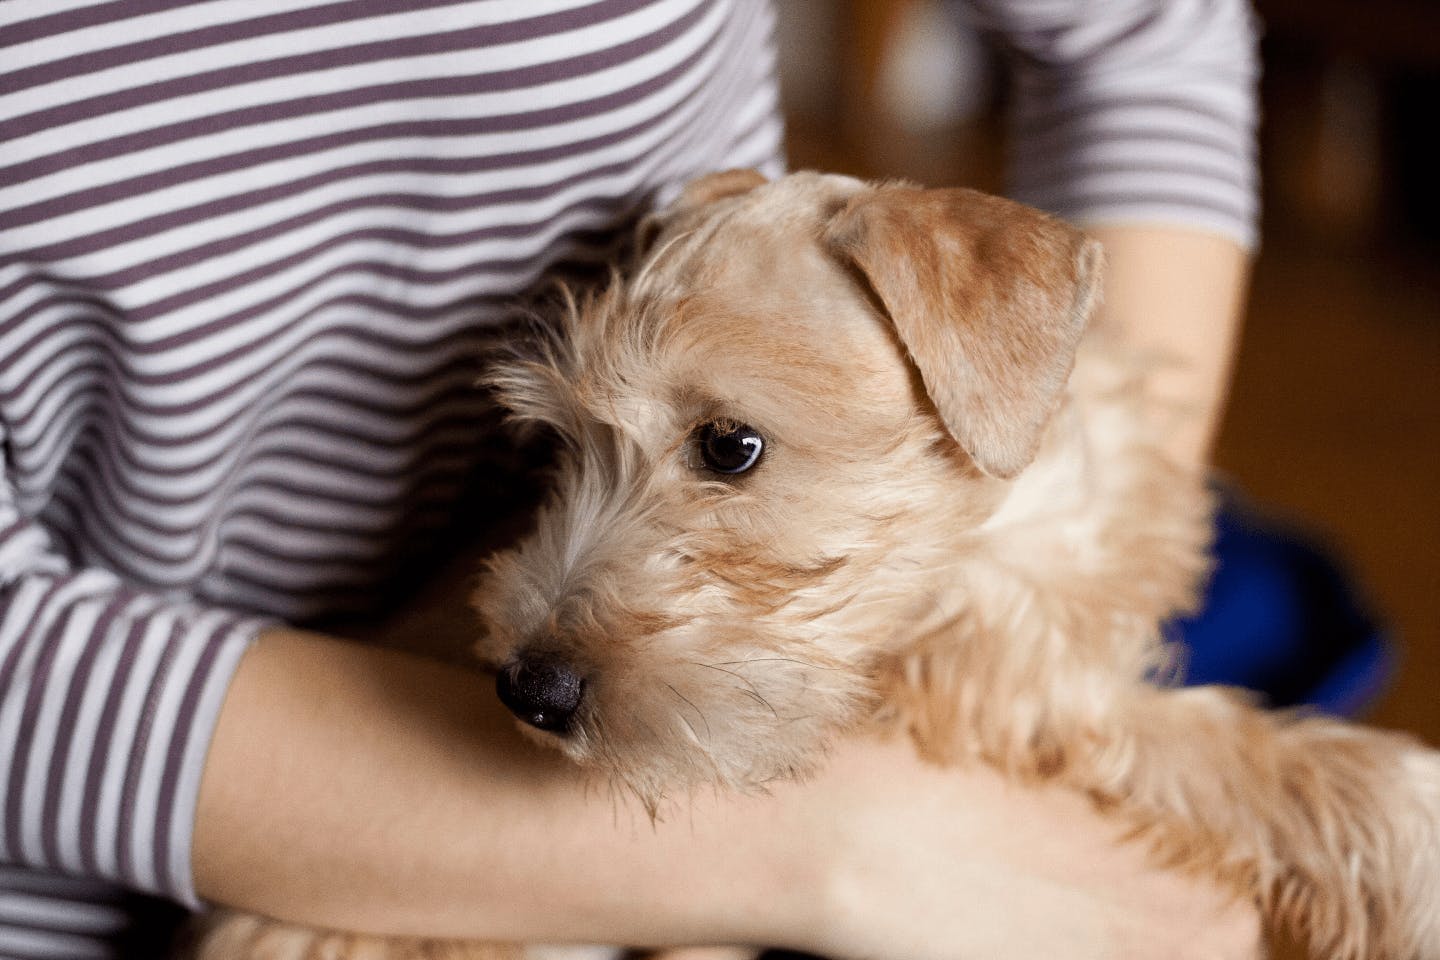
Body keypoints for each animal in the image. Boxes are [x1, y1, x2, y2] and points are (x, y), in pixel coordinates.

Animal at [197, 174, 1440, 960]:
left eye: (730, 445)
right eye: (564, 445)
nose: (527, 692)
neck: (986, 537)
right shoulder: (1025, 711)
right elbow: (1217, 751)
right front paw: (1410, 833)